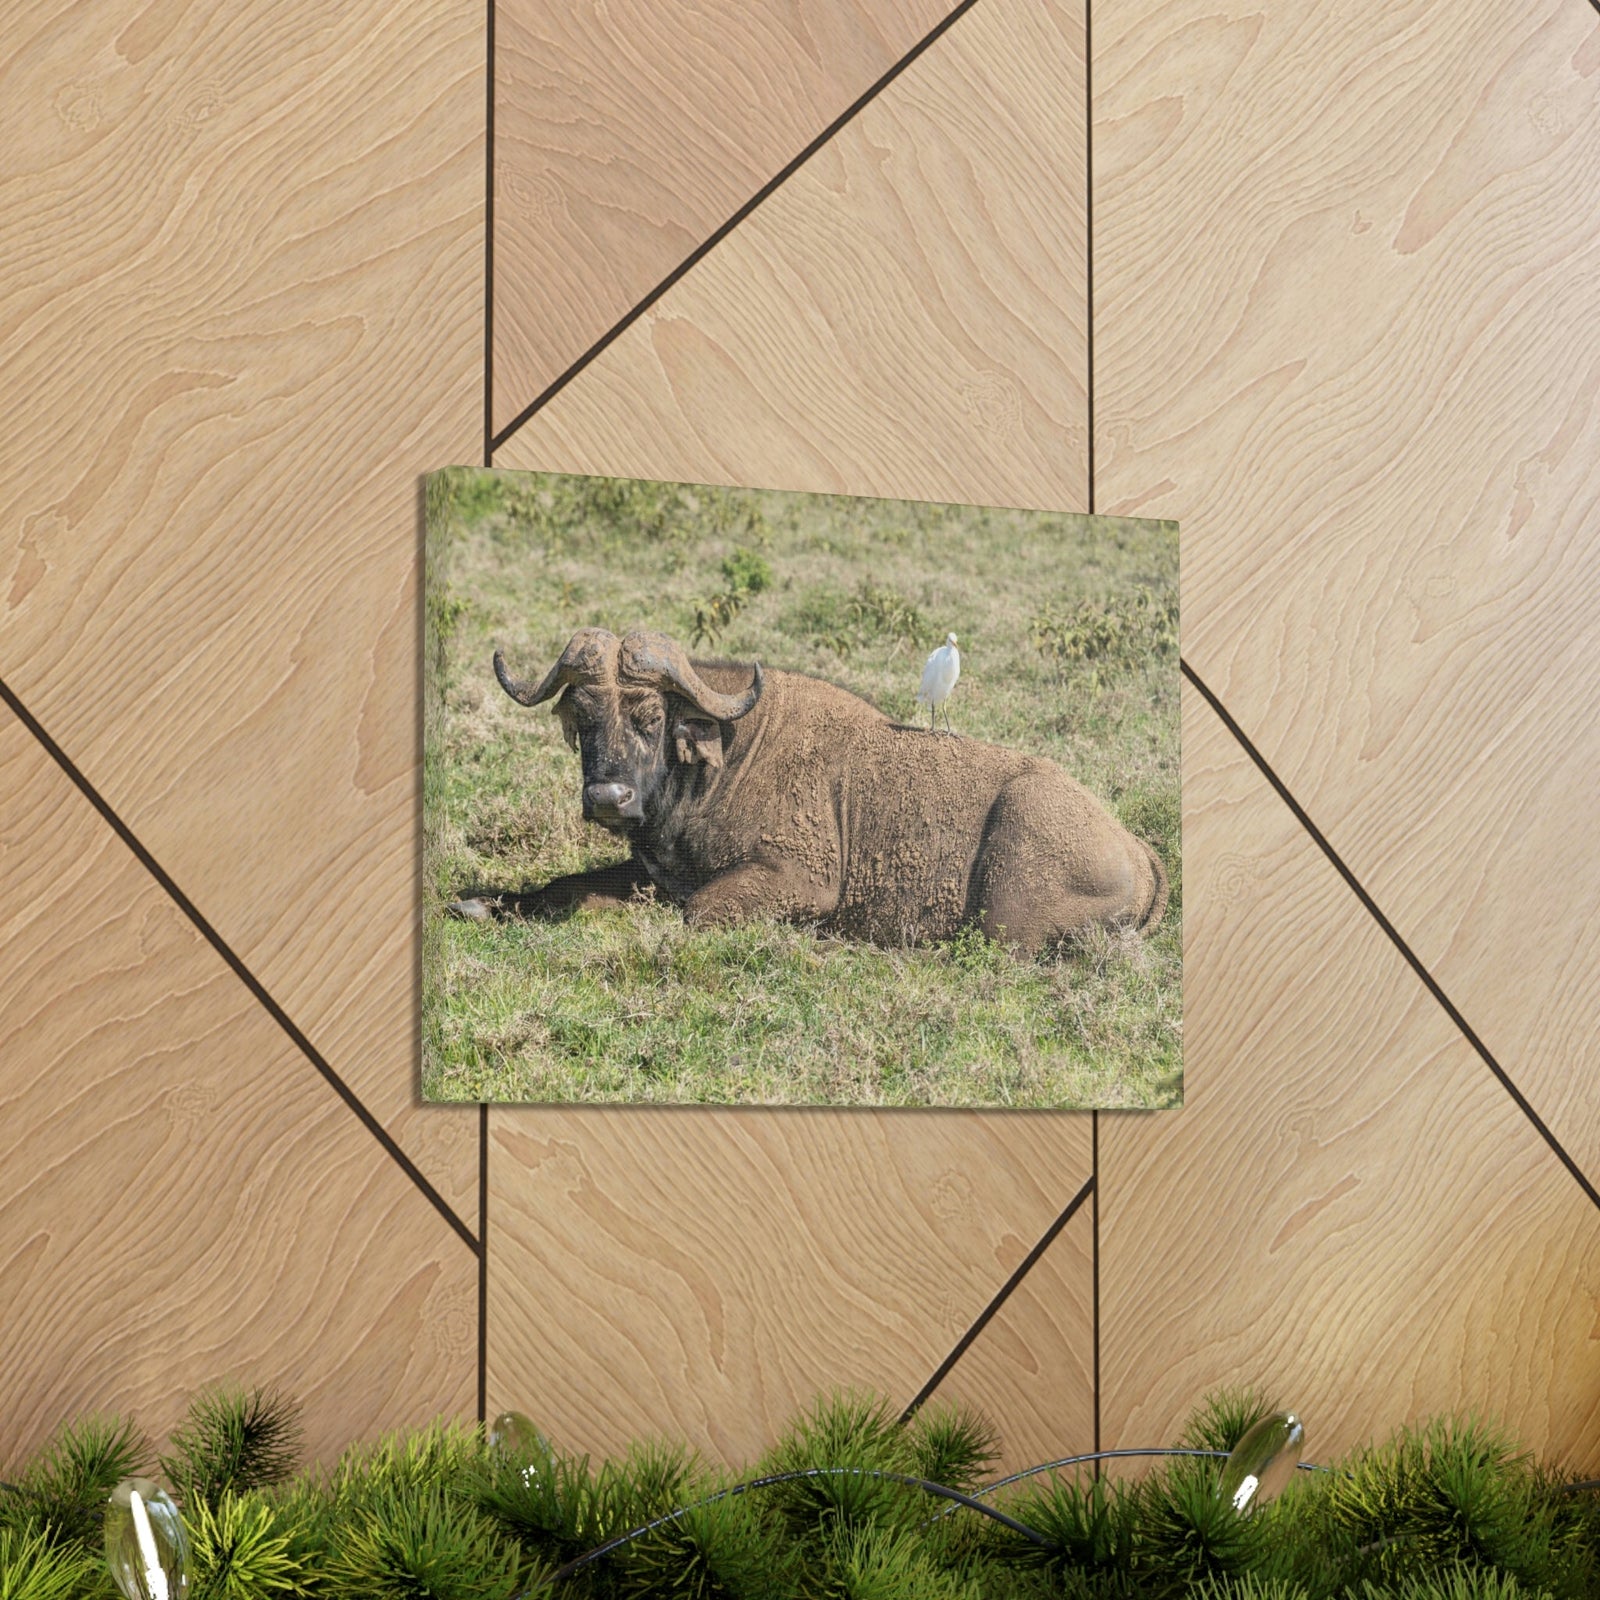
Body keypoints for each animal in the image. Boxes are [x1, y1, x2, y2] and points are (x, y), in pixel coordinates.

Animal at [452, 627, 1168, 956]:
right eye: (584, 716)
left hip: (1005, 909)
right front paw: (482, 904)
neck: (725, 758)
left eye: (650, 717)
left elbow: (695, 912)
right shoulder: (651, 872)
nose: (608, 798)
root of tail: (1137, 849)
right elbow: (561, 887)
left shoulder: (796, 880)